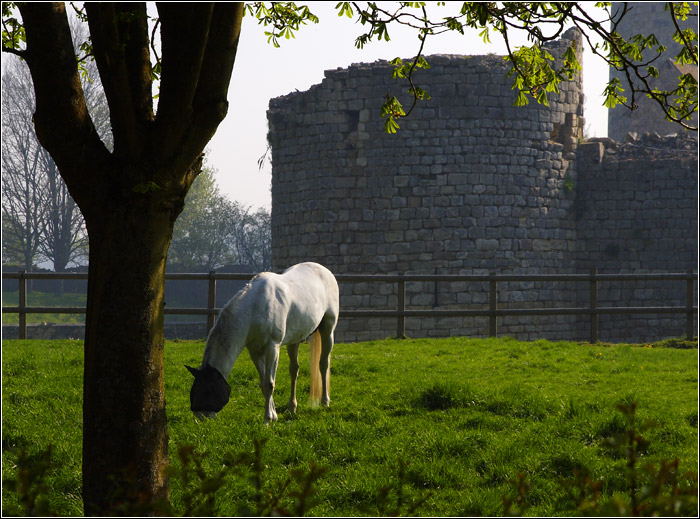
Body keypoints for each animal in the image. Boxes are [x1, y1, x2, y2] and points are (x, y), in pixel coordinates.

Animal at [186, 262, 340, 424]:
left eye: (207, 391)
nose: (200, 419)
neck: (255, 309)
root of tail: (323, 269)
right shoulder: (255, 351)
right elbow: (263, 381)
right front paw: (273, 415)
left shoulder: (272, 348)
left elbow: (269, 383)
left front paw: (267, 419)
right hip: (294, 340)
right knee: (294, 370)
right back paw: (292, 408)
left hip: (328, 330)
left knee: (323, 364)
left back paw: (325, 401)